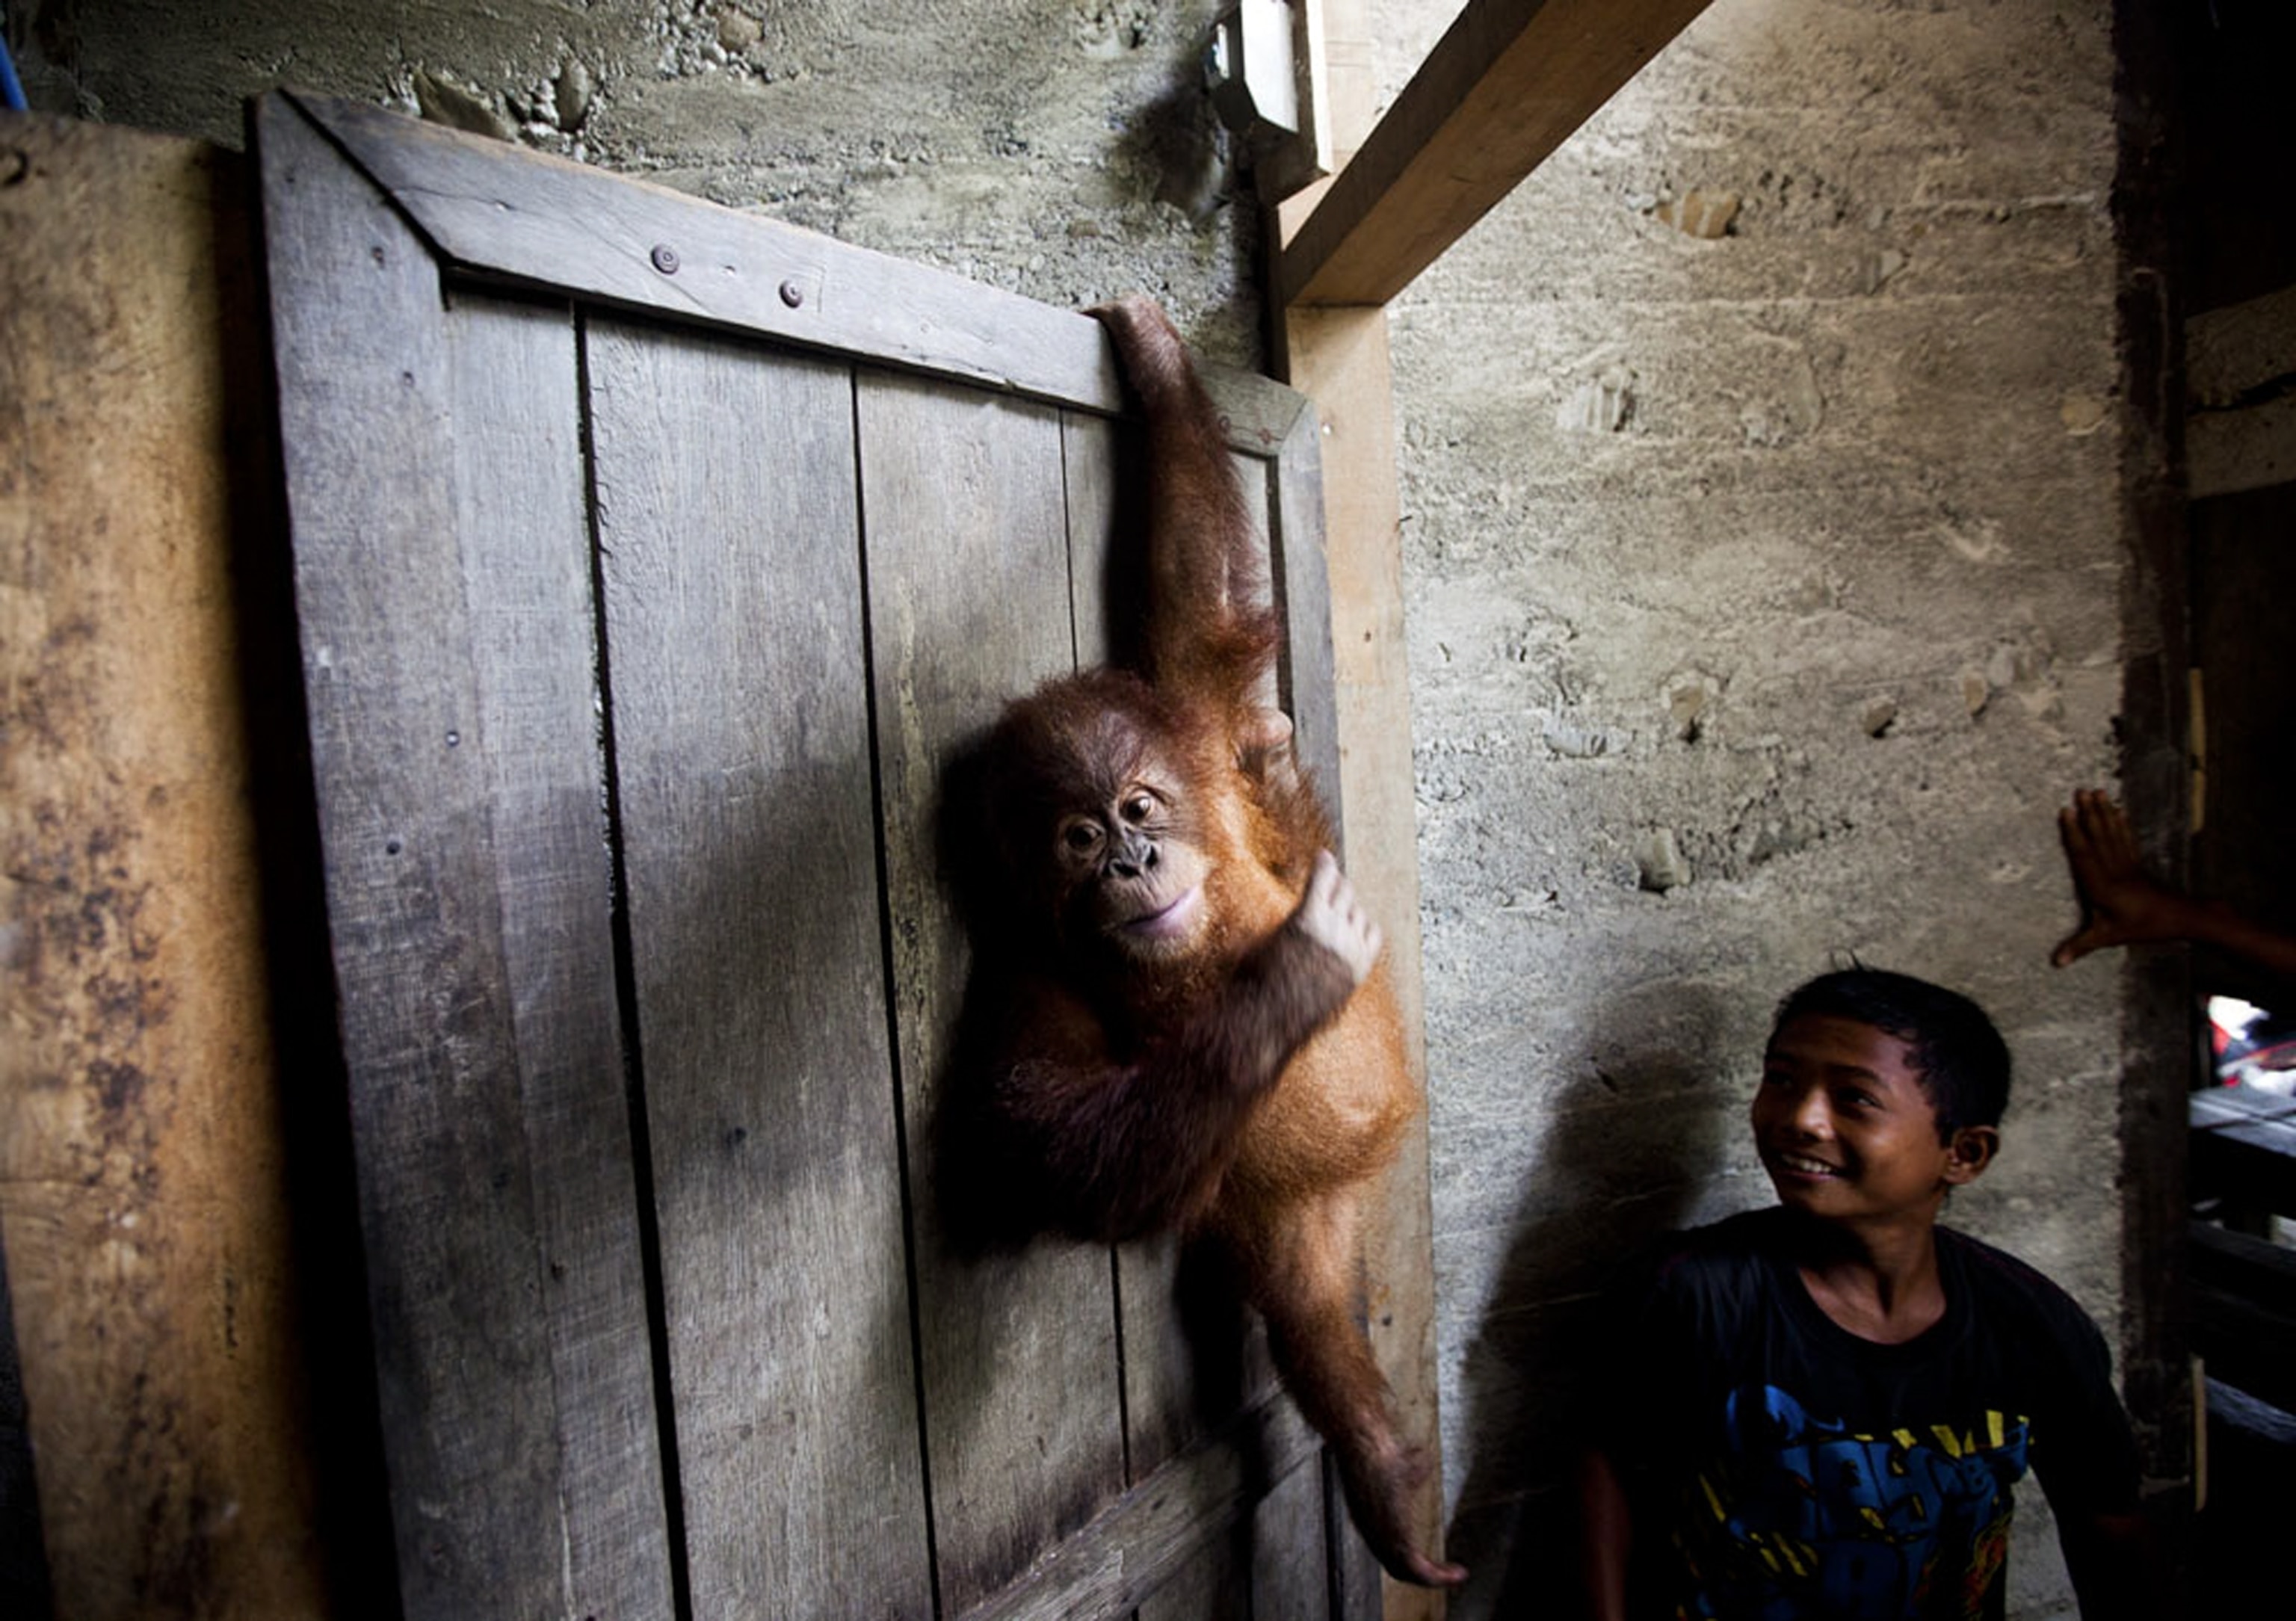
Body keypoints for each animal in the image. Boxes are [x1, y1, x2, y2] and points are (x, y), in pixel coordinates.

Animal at [939, 295, 1465, 1589]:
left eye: (1140, 808)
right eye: (1079, 840)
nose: (1131, 866)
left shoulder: (1204, 734)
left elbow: (1203, 613)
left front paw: (1155, 358)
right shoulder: (1029, 974)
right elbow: (1049, 1141)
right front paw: (1298, 978)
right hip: (1282, 1209)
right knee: (1309, 1308)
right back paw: (1385, 1464)